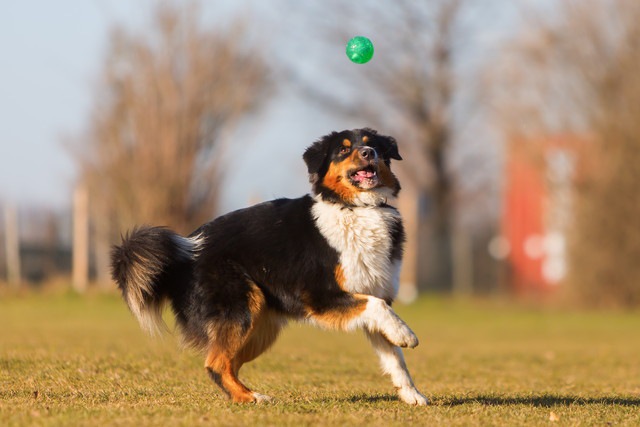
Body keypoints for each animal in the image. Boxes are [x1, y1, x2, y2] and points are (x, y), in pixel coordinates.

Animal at [112, 127, 428, 404]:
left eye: (372, 144)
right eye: (343, 150)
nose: (367, 152)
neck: (357, 208)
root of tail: (183, 253)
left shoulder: (370, 292)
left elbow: (395, 358)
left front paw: (412, 395)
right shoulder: (321, 296)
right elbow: (379, 308)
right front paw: (407, 334)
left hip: (258, 329)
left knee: (226, 362)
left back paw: (247, 394)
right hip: (239, 310)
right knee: (215, 363)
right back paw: (250, 398)